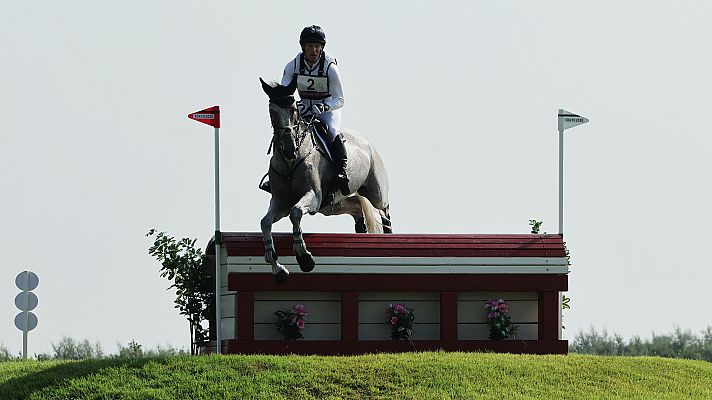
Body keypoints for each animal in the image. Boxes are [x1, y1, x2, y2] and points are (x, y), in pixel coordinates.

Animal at [258, 78, 392, 284]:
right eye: (272, 112)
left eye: (294, 110)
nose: (289, 148)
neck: (290, 162)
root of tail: (366, 143)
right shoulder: (281, 202)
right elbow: (265, 222)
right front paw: (278, 269)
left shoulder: (313, 196)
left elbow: (296, 213)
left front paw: (304, 257)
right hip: (330, 205)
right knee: (356, 205)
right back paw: (360, 229)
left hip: (375, 192)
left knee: (384, 209)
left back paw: (389, 235)